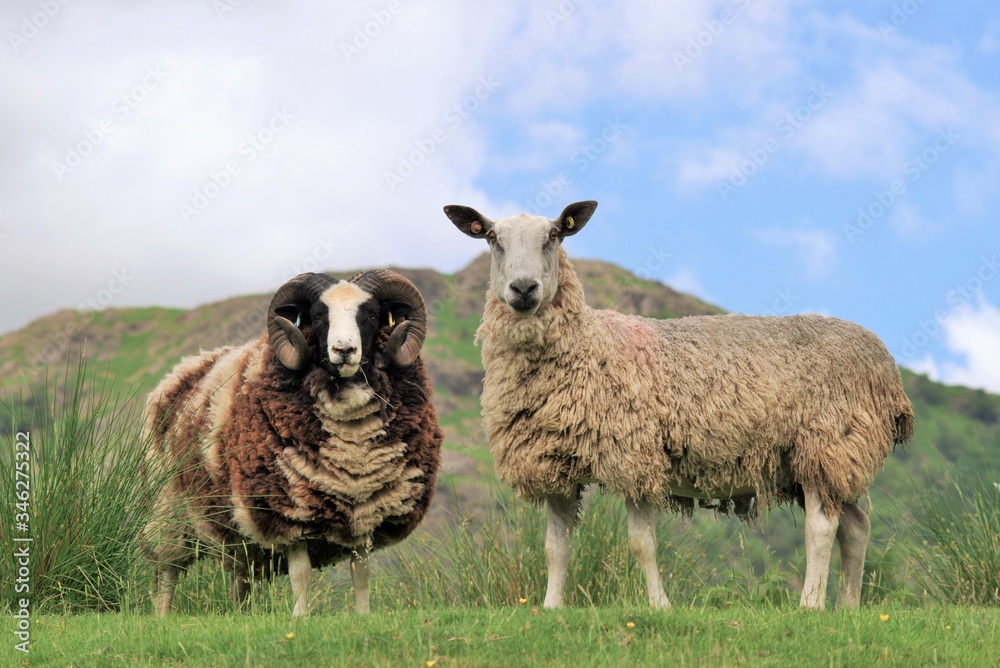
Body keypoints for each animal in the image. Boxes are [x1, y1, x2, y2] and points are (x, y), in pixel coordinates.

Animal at [141, 270, 443, 616]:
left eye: (370, 315)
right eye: (318, 316)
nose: (343, 350)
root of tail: (184, 368)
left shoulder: (366, 512)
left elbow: (361, 574)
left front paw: (363, 615)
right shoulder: (292, 510)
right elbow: (301, 574)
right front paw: (300, 617)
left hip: (235, 529)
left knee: (239, 576)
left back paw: (242, 615)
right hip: (169, 507)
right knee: (168, 570)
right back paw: (162, 615)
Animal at [444, 200, 914, 610]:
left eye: (555, 236)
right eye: (492, 238)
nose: (524, 289)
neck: (589, 345)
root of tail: (886, 367)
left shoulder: (635, 457)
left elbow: (641, 545)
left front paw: (659, 606)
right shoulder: (556, 464)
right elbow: (554, 548)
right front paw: (550, 608)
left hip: (826, 442)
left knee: (822, 527)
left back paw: (811, 604)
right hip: (825, 459)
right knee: (856, 526)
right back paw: (848, 607)